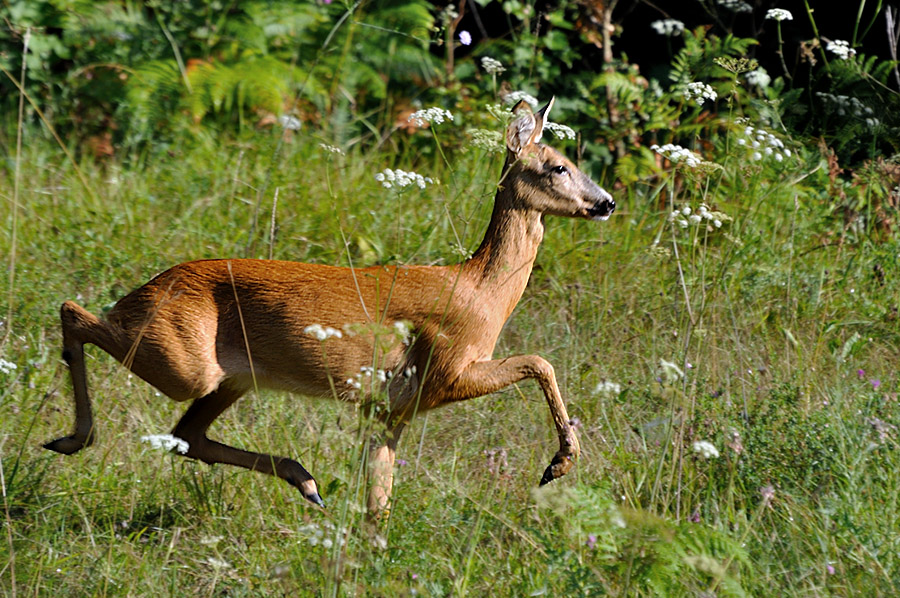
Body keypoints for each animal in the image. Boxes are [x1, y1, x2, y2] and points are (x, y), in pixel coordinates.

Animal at [45, 97, 616, 516]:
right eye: (558, 167)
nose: (606, 202)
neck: (481, 292)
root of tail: (148, 287)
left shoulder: (391, 408)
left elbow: (379, 496)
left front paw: (372, 556)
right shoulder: (447, 368)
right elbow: (539, 361)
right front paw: (559, 464)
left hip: (231, 377)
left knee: (186, 435)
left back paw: (308, 483)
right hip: (182, 361)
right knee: (74, 311)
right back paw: (73, 437)